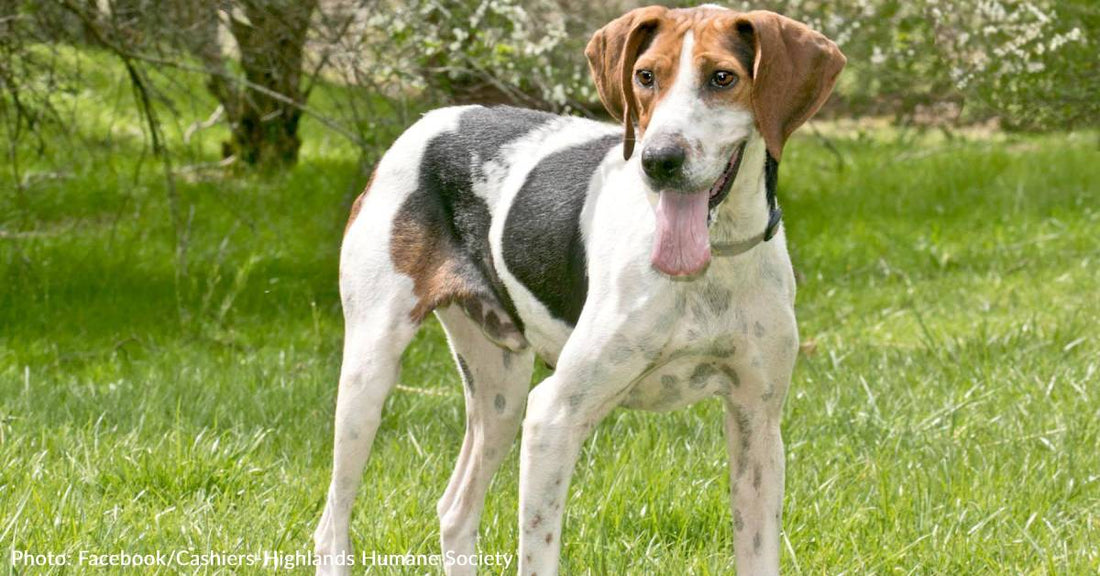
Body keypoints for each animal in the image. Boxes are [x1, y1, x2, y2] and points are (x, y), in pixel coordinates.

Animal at [314, 5, 844, 576]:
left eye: (722, 78)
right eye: (646, 76)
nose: (658, 160)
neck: (711, 265)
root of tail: (427, 121)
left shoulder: (757, 425)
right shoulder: (554, 417)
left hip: (501, 395)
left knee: (455, 511)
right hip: (371, 374)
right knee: (332, 527)